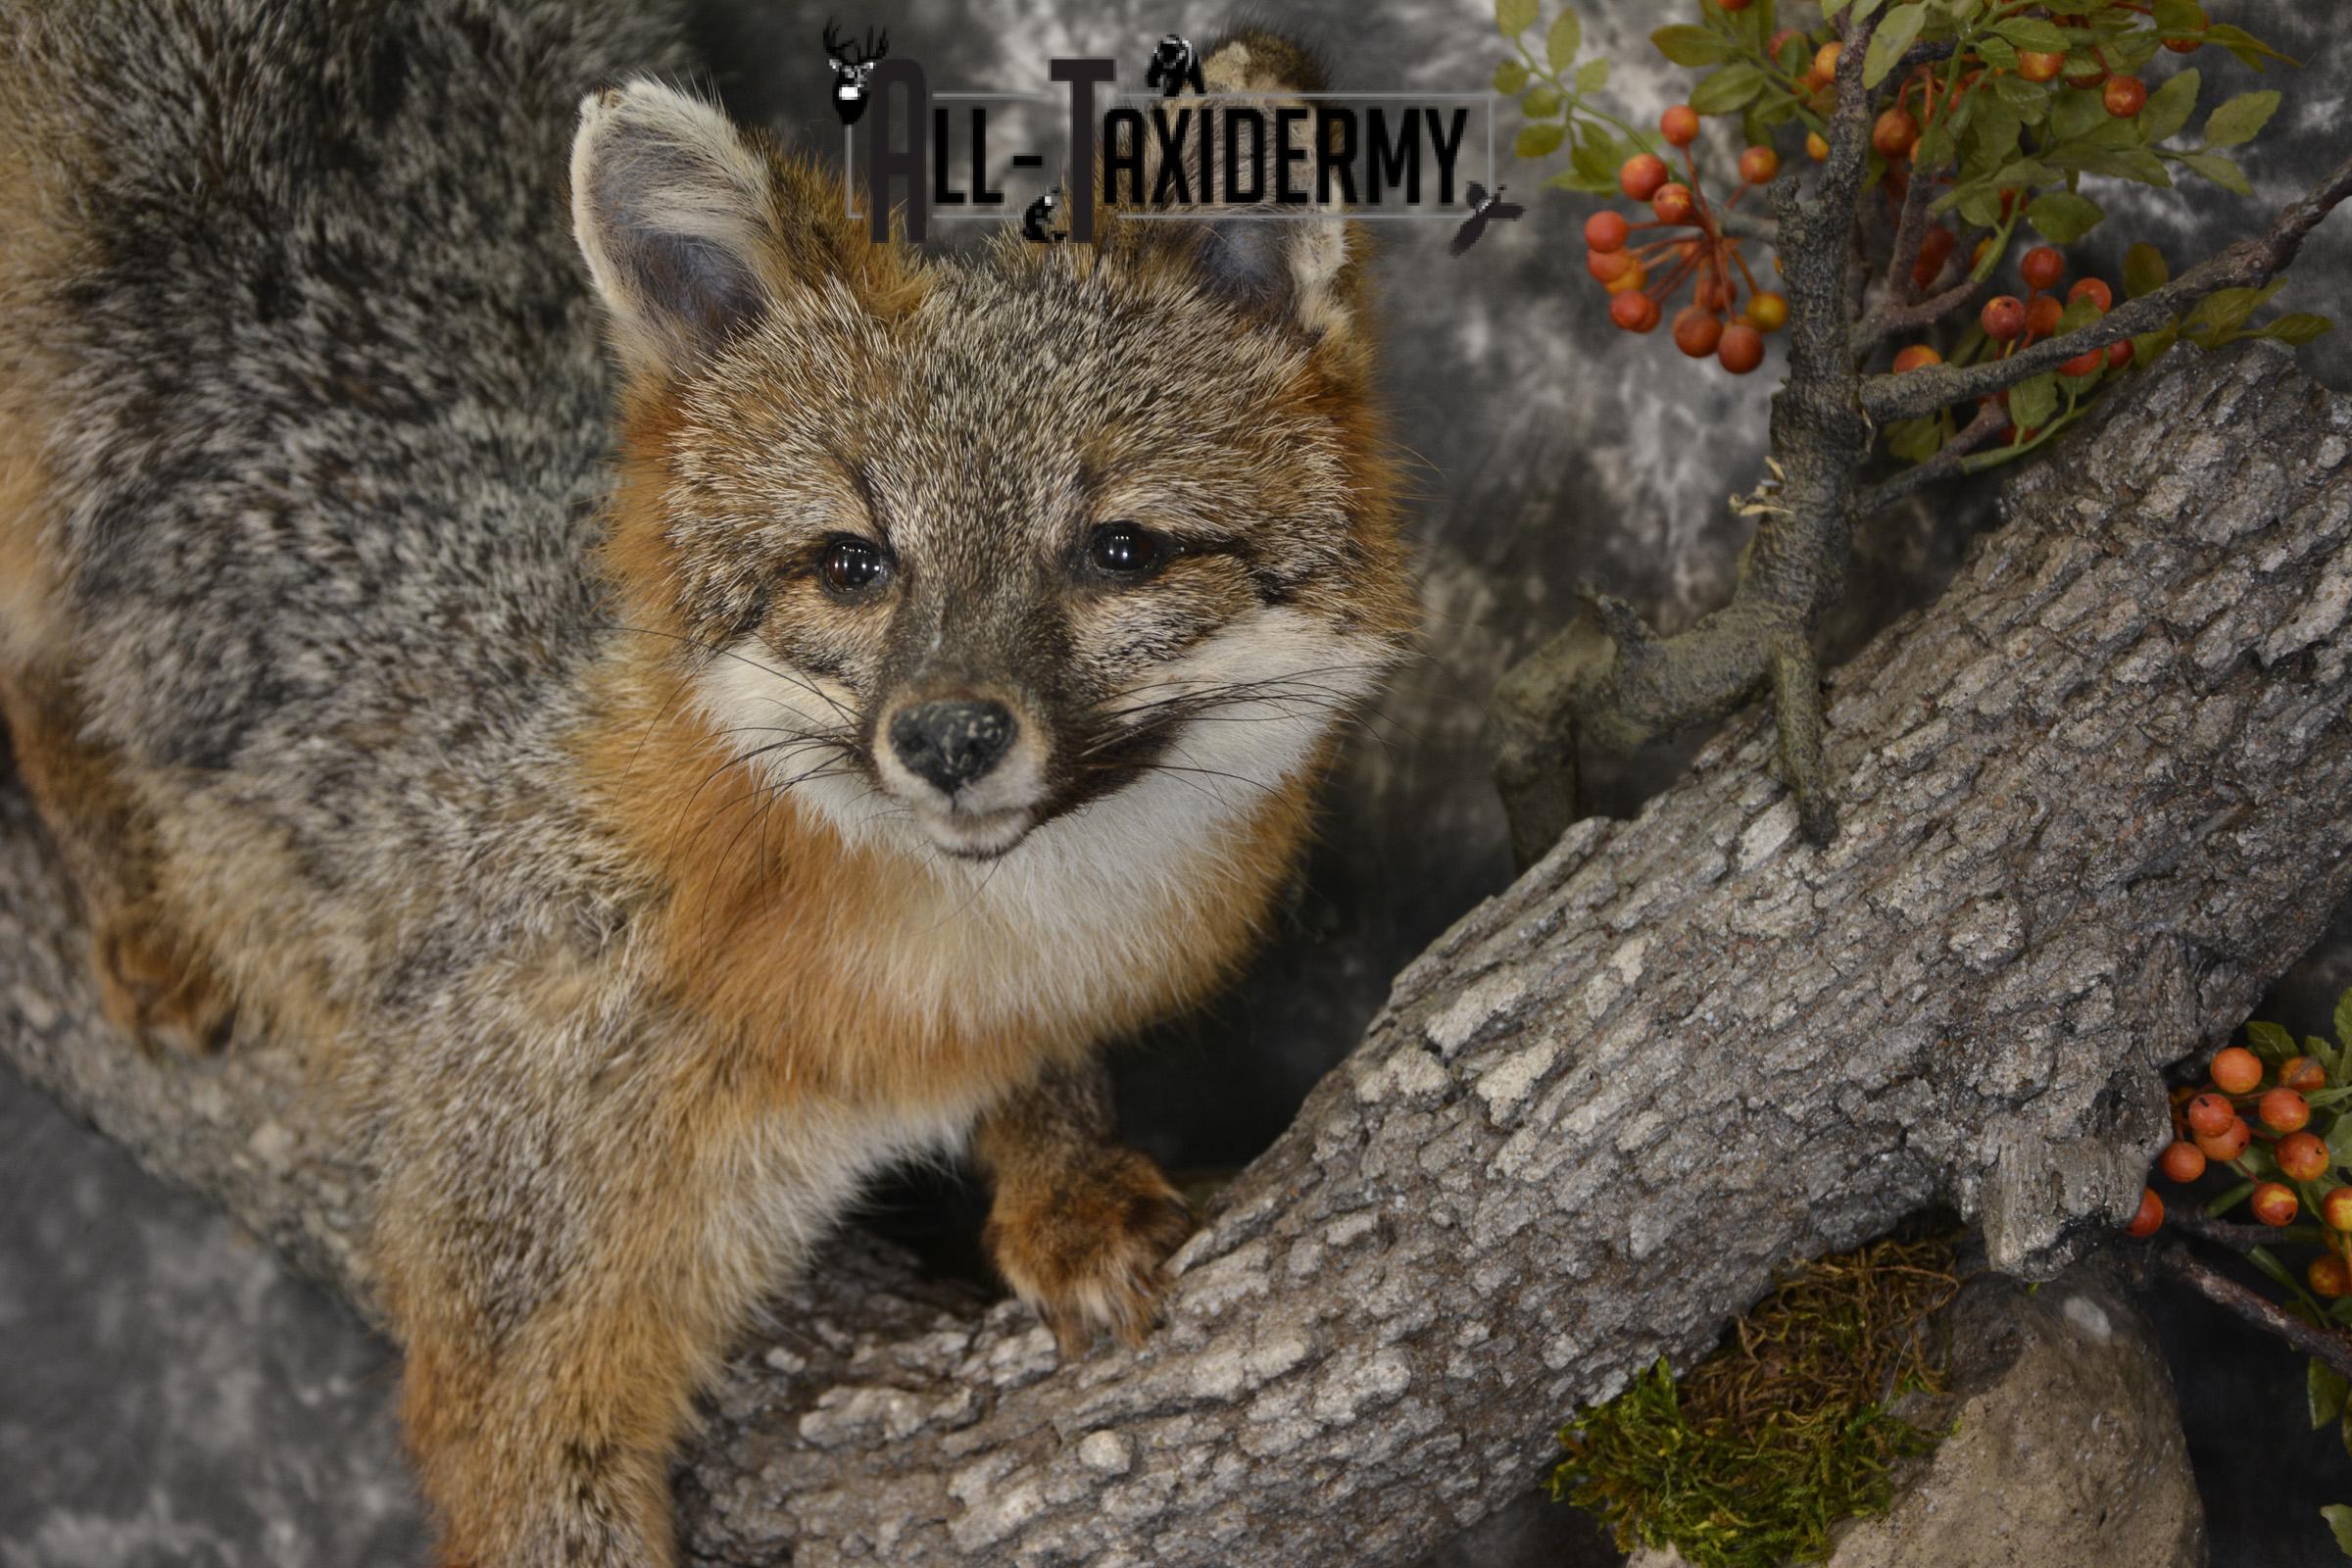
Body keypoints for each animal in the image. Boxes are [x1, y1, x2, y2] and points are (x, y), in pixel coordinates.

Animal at [0, 2, 1412, 1563]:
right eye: (852, 564)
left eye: (1118, 553)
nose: (949, 736)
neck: (925, 995)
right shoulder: (517, 1328)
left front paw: (1066, 1171)